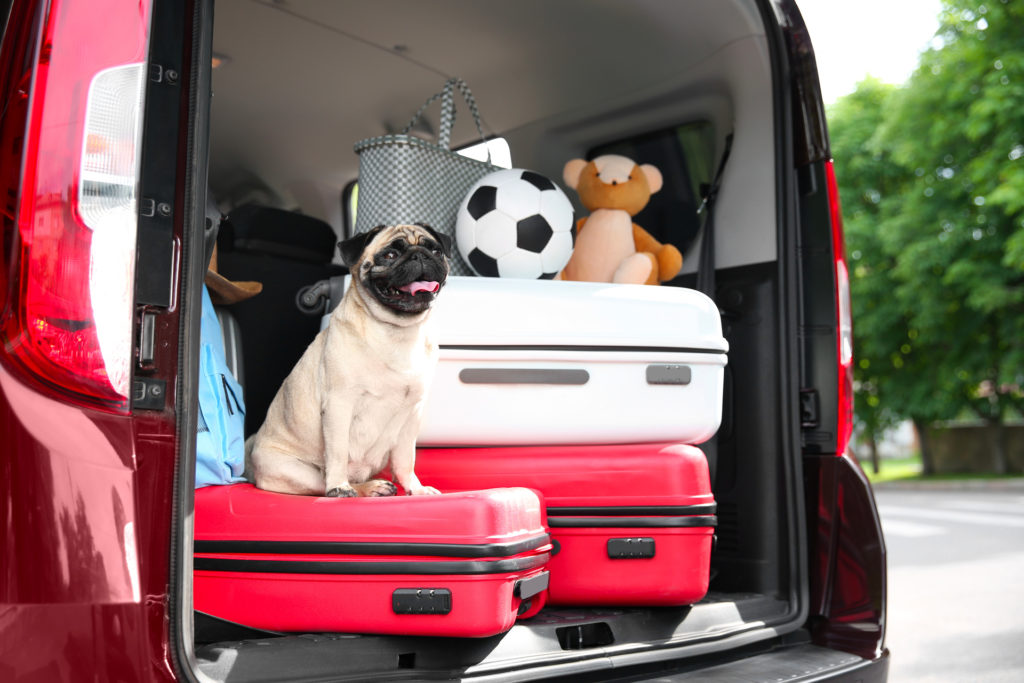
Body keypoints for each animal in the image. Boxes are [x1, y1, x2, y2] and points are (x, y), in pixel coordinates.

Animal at [245, 223, 450, 497]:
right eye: (390, 255)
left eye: (436, 251)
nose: (420, 256)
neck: (398, 331)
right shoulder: (339, 405)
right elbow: (338, 452)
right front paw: (339, 486)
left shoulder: (412, 412)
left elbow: (406, 459)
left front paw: (415, 489)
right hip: (295, 471)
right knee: (323, 482)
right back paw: (362, 487)